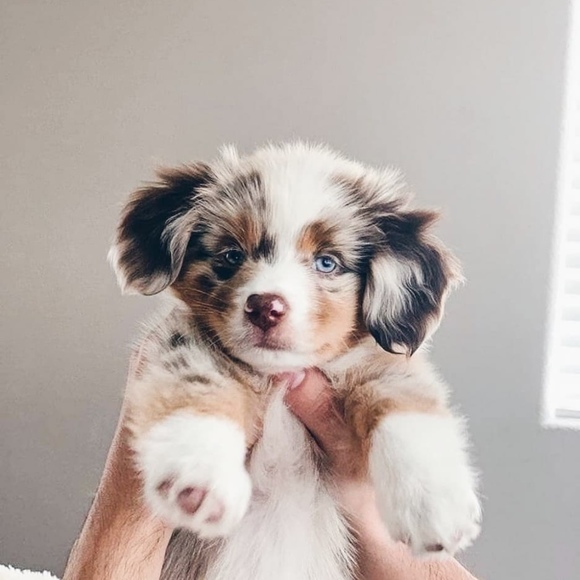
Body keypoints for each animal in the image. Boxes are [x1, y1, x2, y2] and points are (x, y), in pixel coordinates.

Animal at [109, 142, 481, 580]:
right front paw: (201, 474)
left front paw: (432, 502)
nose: (265, 307)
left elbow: (405, 405)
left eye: (327, 262)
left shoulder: (374, 361)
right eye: (231, 255)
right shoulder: (182, 338)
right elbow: (197, 385)